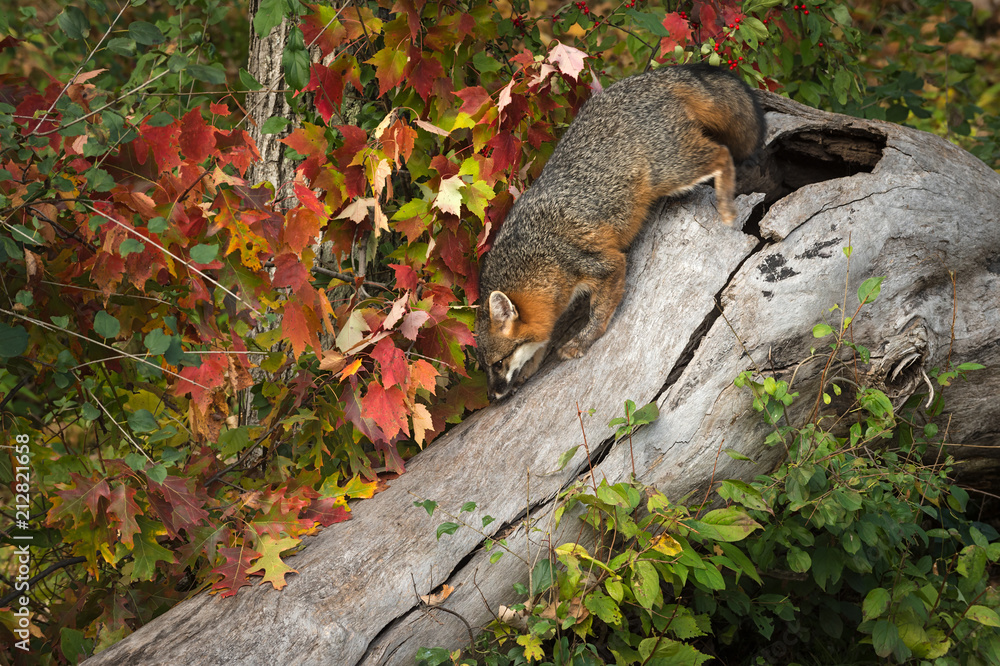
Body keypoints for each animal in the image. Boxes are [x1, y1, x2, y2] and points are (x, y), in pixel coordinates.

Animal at [473, 63, 766, 402]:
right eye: (486, 367)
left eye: (498, 363)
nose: (492, 397)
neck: (533, 256)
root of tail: (652, 78)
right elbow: (542, 340)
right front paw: (531, 367)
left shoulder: (603, 263)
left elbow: (598, 313)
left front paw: (582, 341)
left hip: (672, 170)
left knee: (722, 153)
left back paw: (727, 206)